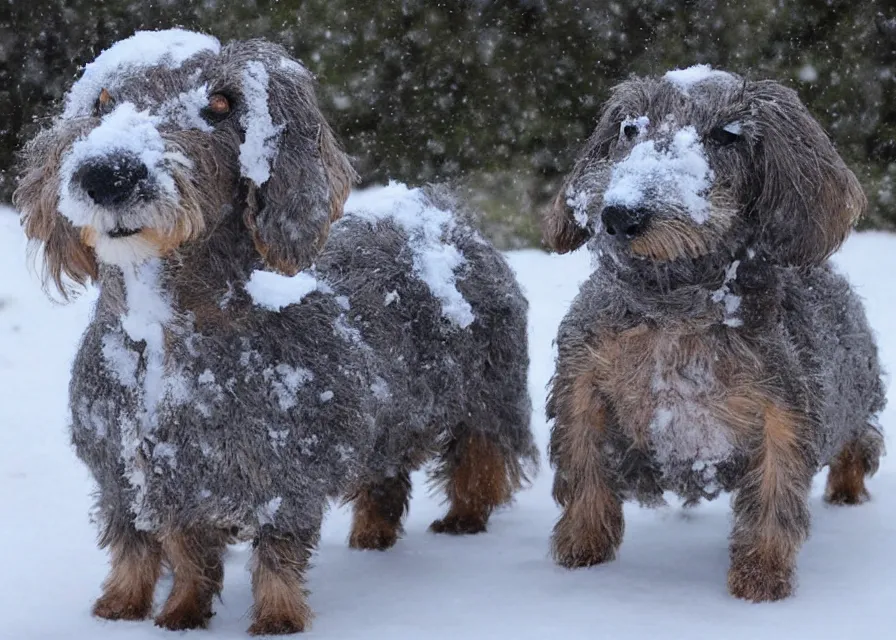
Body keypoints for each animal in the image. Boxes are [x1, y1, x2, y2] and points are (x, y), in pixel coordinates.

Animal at [14, 28, 536, 632]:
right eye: (100, 102)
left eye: (220, 104)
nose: (108, 175)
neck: (166, 337)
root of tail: (442, 214)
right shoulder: (137, 478)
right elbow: (157, 550)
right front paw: (138, 610)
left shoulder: (286, 474)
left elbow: (276, 557)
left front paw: (277, 619)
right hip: (390, 416)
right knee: (387, 476)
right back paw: (372, 534)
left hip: (488, 393)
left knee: (481, 461)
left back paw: (464, 520)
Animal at [544, 67, 884, 604]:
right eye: (629, 128)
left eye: (726, 135)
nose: (619, 215)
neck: (676, 306)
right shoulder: (580, 381)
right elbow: (583, 470)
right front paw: (581, 549)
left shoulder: (785, 408)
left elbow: (773, 496)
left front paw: (761, 576)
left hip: (852, 398)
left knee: (859, 441)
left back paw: (847, 490)